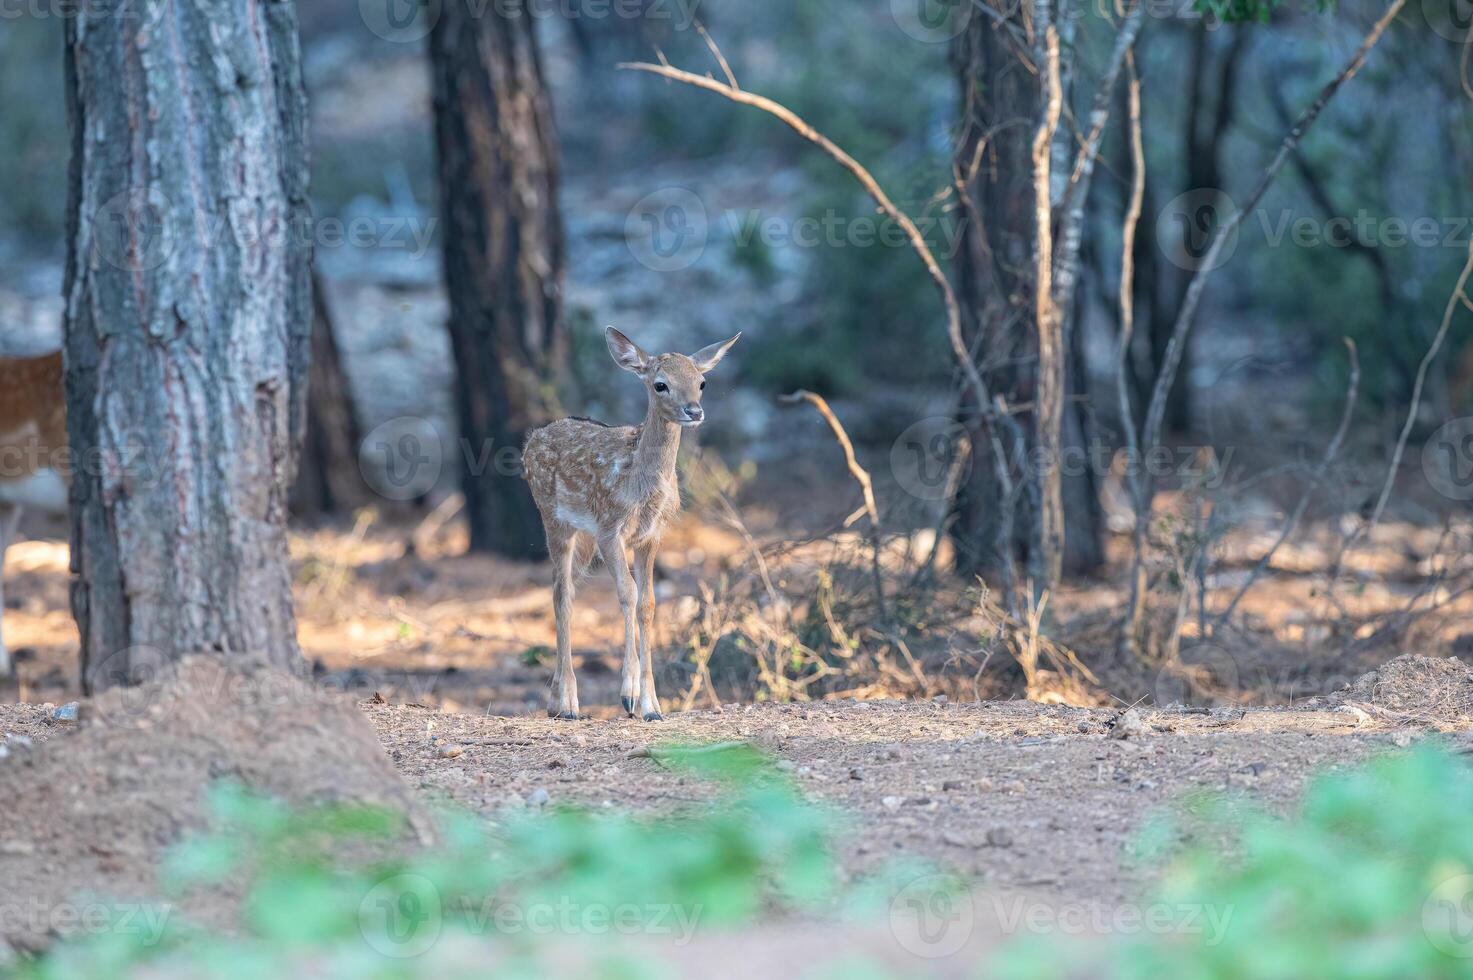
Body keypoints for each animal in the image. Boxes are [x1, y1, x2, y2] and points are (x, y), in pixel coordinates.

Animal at [524, 328, 742, 719]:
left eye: (702, 382)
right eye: (660, 384)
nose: (694, 411)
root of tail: (531, 440)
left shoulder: (650, 536)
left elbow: (648, 602)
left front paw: (652, 705)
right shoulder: (611, 529)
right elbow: (627, 593)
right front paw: (627, 694)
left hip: (584, 537)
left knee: (568, 590)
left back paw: (553, 701)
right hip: (553, 518)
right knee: (561, 594)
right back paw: (569, 703)